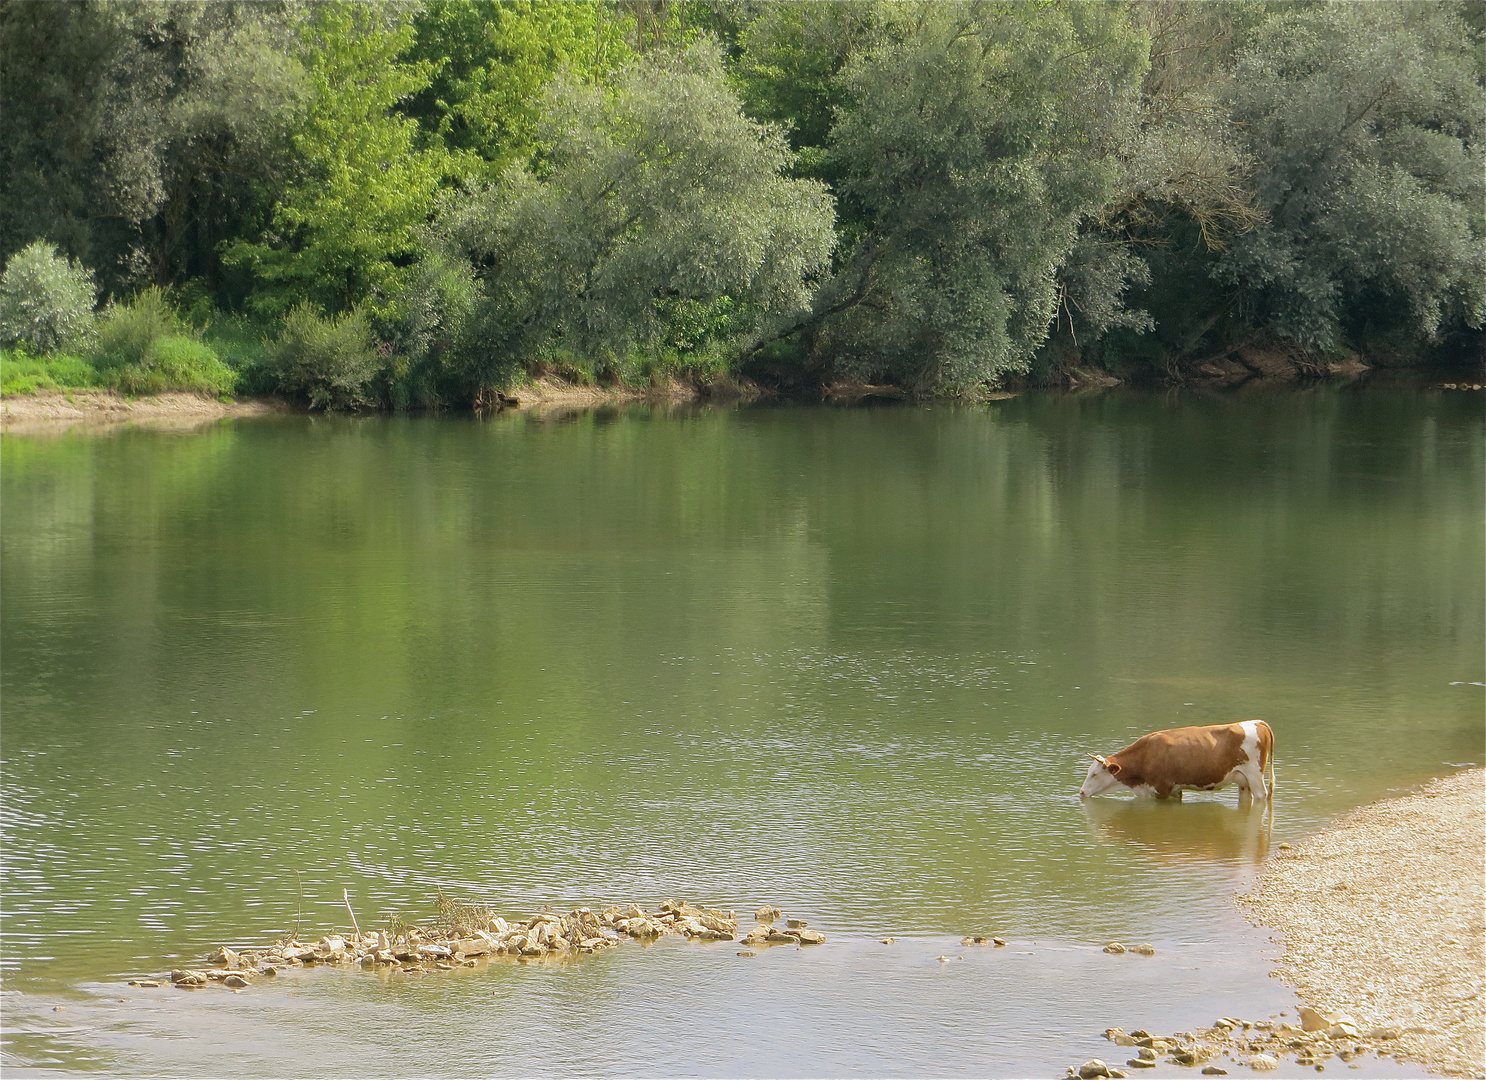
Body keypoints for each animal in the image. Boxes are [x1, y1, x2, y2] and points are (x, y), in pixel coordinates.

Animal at [1081, 719, 1277, 802]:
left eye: (1095, 774)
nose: (1081, 792)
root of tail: (1257, 722)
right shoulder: (1174, 790)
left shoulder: (1162, 789)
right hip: (1243, 781)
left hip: (1255, 775)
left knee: (1261, 796)